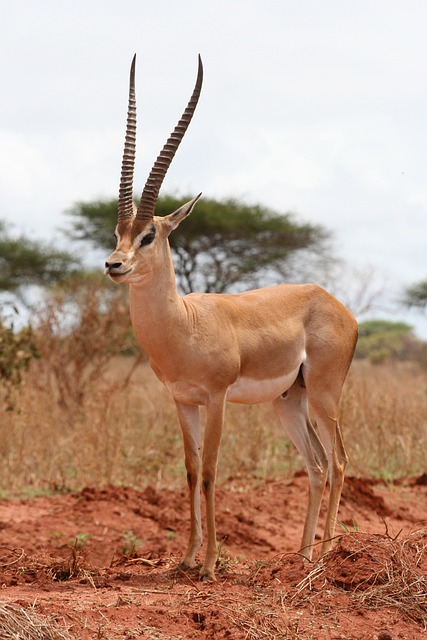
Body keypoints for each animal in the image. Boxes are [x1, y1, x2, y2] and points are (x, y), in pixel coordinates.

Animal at [105, 55, 358, 581]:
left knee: (341, 460)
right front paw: (185, 558)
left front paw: (209, 565)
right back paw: (302, 556)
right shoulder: (183, 400)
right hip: (289, 400)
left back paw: (325, 557)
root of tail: (332, 302)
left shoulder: (217, 398)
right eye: (118, 231)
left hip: (325, 394)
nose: (113, 264)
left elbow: (210, 472)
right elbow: (188, 470)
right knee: (317, 465)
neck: (184, 325)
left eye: (149, 235)